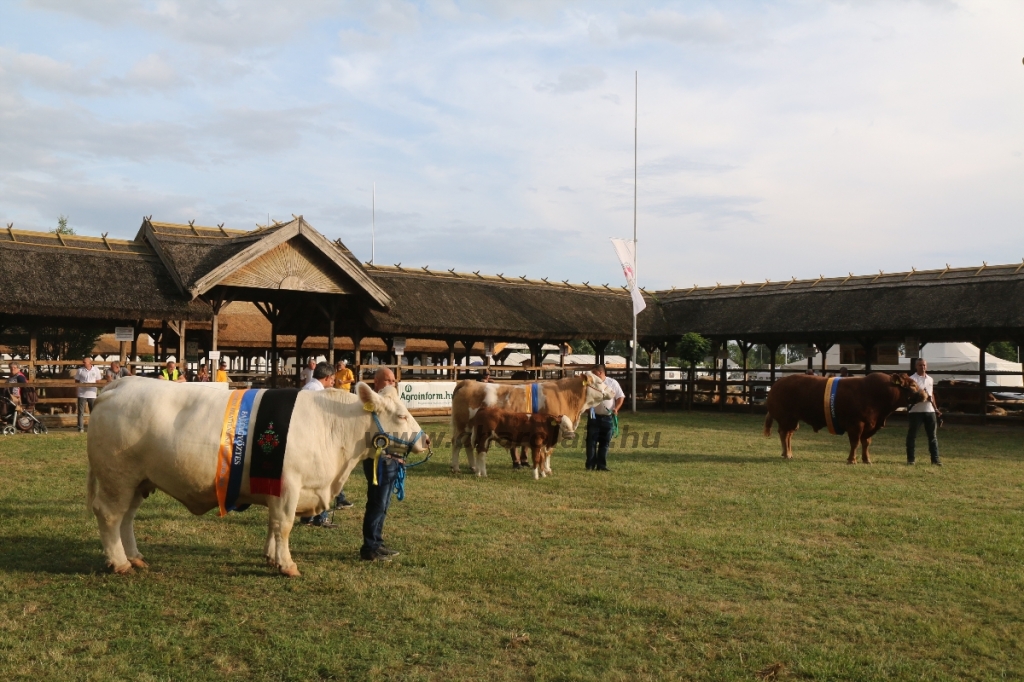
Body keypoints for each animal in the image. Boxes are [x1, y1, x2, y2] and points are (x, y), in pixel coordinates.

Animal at [86, 374, 425, 577]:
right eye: (400, 415)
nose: (427, 440)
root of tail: (120, 384)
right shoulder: (289, 484)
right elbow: (284, 525)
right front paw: (287, 565)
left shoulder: (277, 485)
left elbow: (273, 525)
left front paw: (271, 557)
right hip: (117, 478)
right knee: (110, 515)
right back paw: (119, 563)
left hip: (137, 482)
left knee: (126, 518)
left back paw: (134, 557)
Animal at [452, 372, 610, 473]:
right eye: (599, 382)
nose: (612, 392)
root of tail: (468, 382)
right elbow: (547, 451)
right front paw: (546, 469)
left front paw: (546, 468)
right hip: (461, 427)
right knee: (457, 443)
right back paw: (456, 468)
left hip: (469, 429)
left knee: (467, 445)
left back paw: (472, 467)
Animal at [761, 372, 929, 462]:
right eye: (912, 385)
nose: (926, 394)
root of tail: (777, 384)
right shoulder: (856, 424)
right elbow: (855, 443)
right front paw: (852, 460)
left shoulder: (870, 425)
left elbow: (866, 442)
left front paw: (866, 459)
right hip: (786, 417)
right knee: (784, 434)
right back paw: (787, 454)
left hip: (793, 419)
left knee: (788, 435)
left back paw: (788, 453)